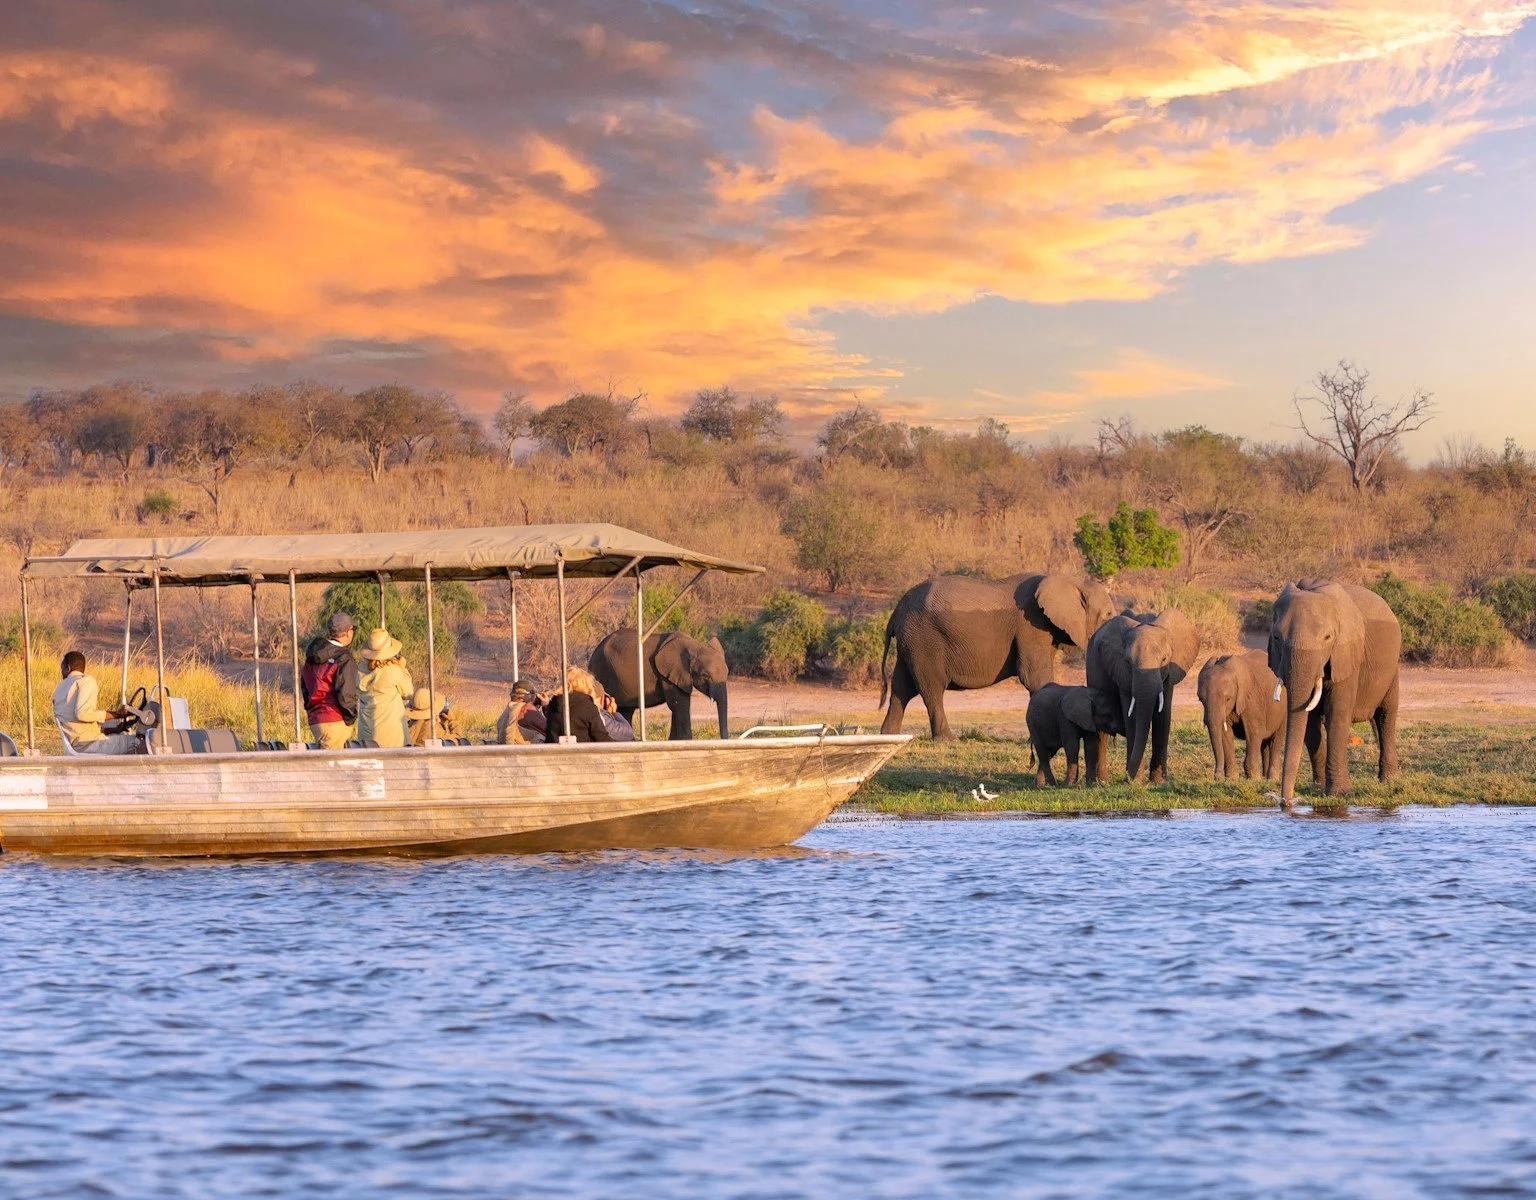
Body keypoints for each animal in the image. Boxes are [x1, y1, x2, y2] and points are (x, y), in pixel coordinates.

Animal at [588, 629, 729, 740]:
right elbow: (679, 704)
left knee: (625, 711)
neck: (694, 646)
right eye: (705, 676)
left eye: (727, 674)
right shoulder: (669, 674)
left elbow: (676, 706)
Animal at [879, 573, 1115, 740]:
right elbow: (1034, 677)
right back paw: (947, 739)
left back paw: (888, 736)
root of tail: (896, 612)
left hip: (911, 642)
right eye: (1109, 615)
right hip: (924, 639)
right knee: (931, 688)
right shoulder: (1031, 625)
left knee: (902, 687)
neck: (1071, 580)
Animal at [1086, 609, 1201, 783]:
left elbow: (1163, 717)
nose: (1128, 777)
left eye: (1164, 659)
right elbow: (1132, 717)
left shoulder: (1168, 675)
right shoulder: (1122, 673)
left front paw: (1159, 781)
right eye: (1128, 662)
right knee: (1101, 732)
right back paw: (1100, 782)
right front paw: (1136, 781)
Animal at [1197, 650, 1288, 780]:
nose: (1216, 777)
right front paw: (1232, 779)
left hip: (1283, 710)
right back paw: (1265, 777)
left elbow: (1254, 732)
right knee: (1265, 742)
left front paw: (1253, 779)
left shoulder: (1252, 699)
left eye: (1228, 699)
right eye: (1201, 700)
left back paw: (1271, 779)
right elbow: (1225, 734)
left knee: (1276, 739)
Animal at [1269, 580, 1401, 802]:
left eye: (1327, 637)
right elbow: (1310, 723)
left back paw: (1389, 780)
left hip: (1392, 668)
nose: (1286, 802)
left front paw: (1339, 794)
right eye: (1277, 637)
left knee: (1386, 716)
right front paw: (1318, 789)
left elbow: (1337, 714)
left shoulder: (1346, 654)